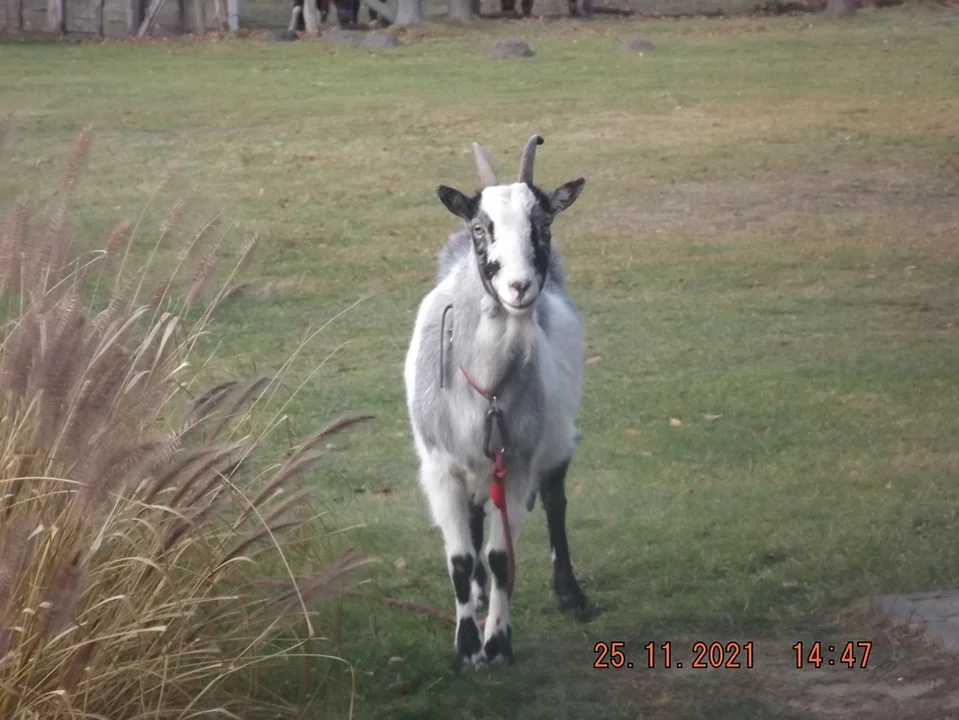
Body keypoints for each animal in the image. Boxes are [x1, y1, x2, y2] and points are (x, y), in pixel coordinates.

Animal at [402, 135, 588, 668]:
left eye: (543, 223)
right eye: (481, 227)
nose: (519, 287)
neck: (485, 387)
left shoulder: (519, 461)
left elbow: (502, 558)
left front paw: (498, 642)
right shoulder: (440, 466)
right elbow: (462, 559)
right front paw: (467, 644)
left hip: (556, 439)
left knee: (555, 501)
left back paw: (570, 595)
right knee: (474, 517)